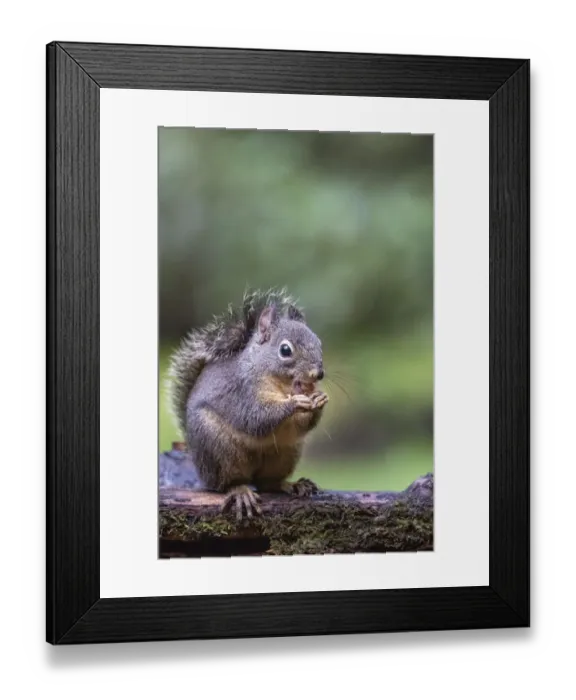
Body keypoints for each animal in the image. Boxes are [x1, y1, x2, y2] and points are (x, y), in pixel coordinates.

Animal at [167, 288, 329, 520]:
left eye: (319, 343)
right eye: (285, 350)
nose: (318, 374)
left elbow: (301, 425)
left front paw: (319, 399)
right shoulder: (242, 392)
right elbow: (255, 418)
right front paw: (294, 403)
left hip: (286, 453)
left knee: (267, 483)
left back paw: (292, 485)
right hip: (218, 449)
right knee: (228, 484)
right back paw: (240, 492)